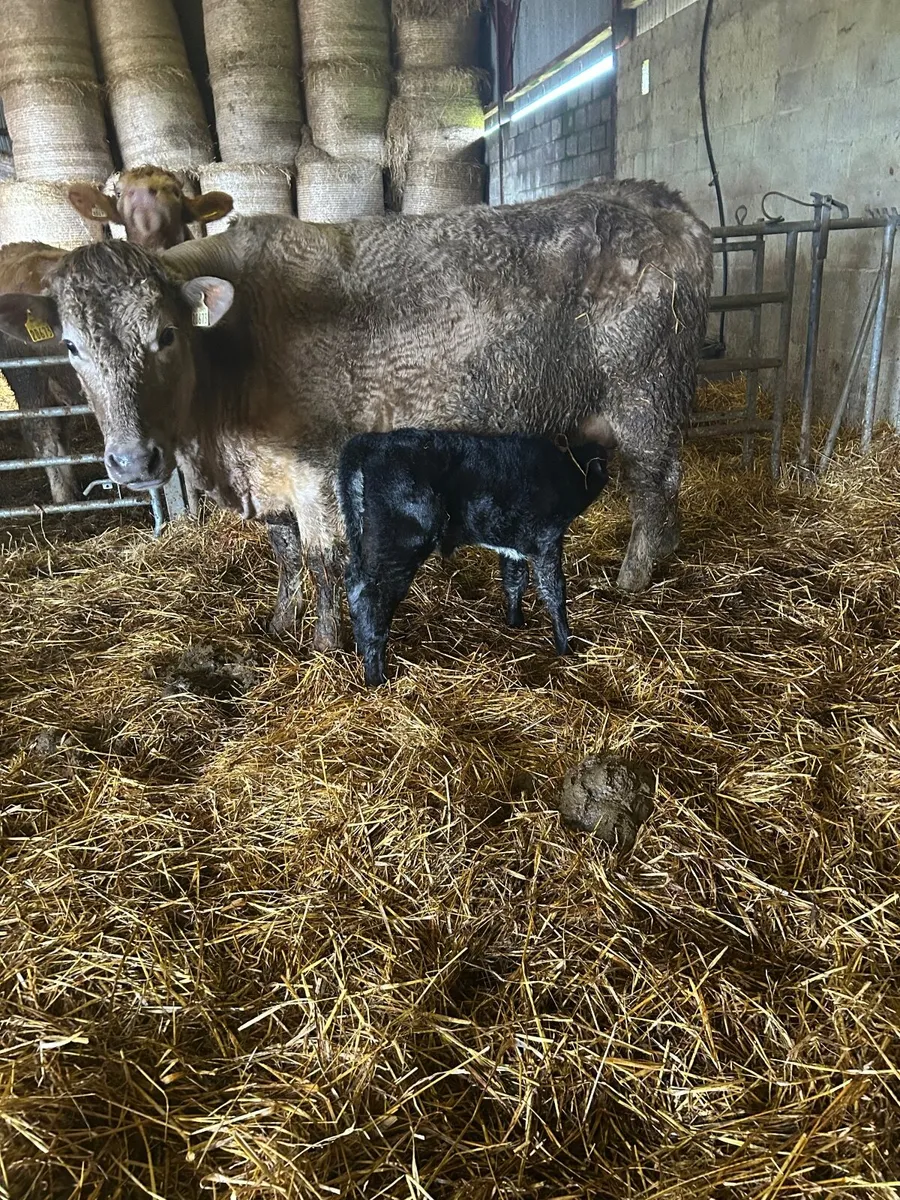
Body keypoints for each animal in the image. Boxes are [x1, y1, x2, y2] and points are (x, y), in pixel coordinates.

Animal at [0, 167, 232, 505]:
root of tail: (13, 249)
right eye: (120, 193)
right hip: (28, 380)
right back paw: (64, 497)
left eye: (176, 192)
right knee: (42, 434)